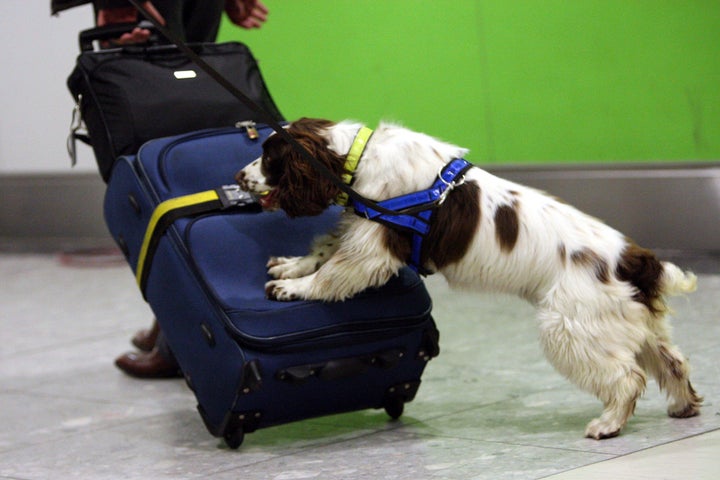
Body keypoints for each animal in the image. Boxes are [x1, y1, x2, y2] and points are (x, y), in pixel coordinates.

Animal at [238, 117, 704, 438]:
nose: (240, 176)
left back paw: (608, 424)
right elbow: (324, 249)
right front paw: (290, 266)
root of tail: (637, 260)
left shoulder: (374, 245)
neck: (357, 158)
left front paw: (292, 288)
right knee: (673, 361)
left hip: (572, 325)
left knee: (627, 378)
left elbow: (332, 274)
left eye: (269, 157)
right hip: (629, 323)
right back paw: (683, 406)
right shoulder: (362, 227)